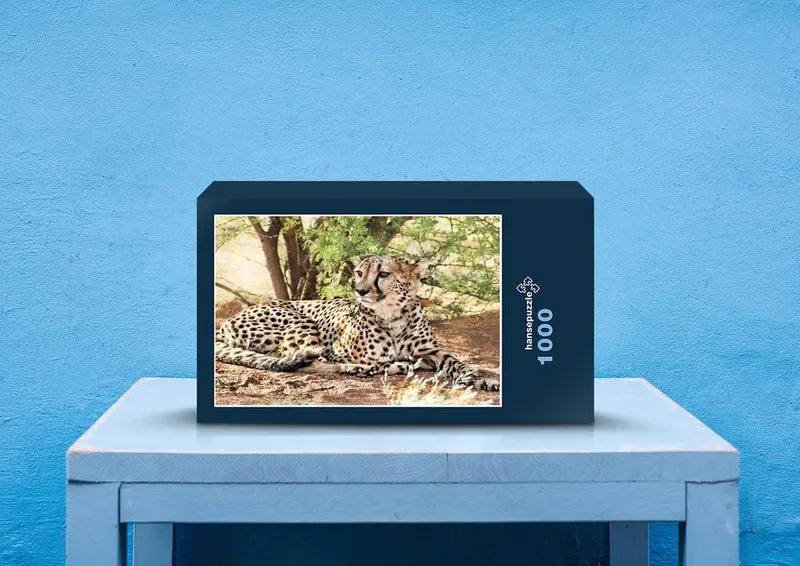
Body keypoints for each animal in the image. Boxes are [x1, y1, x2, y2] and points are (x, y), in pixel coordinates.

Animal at [215, 254, 499, 391]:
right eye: (360, 272)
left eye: (383, 274)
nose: (360, 290)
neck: (393, 317)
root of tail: (227, 322)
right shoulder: (336, 349)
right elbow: (381, 360)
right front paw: (393, 364)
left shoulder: (431, 350)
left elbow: (458, 363)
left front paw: (481, 380)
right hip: (300, 322)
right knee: (302, 359)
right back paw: (362, 369)